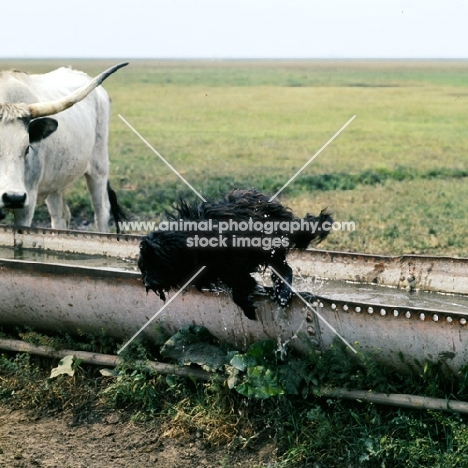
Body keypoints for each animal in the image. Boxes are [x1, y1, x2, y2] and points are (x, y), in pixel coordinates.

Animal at [0, 61, 127, 230]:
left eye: (27, 148)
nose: (14, 198)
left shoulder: (27, 203)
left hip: (99, 169)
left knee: (101, 212)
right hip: (56, 181)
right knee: (60, 216)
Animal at [139, 188, 332, 320]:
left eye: (158, 262)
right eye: (144, 265)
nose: (147, 283)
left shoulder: (235, 262)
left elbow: (241, 285)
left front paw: (247, 306)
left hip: (268, 246)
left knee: (284, 269)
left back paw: (282, 293)